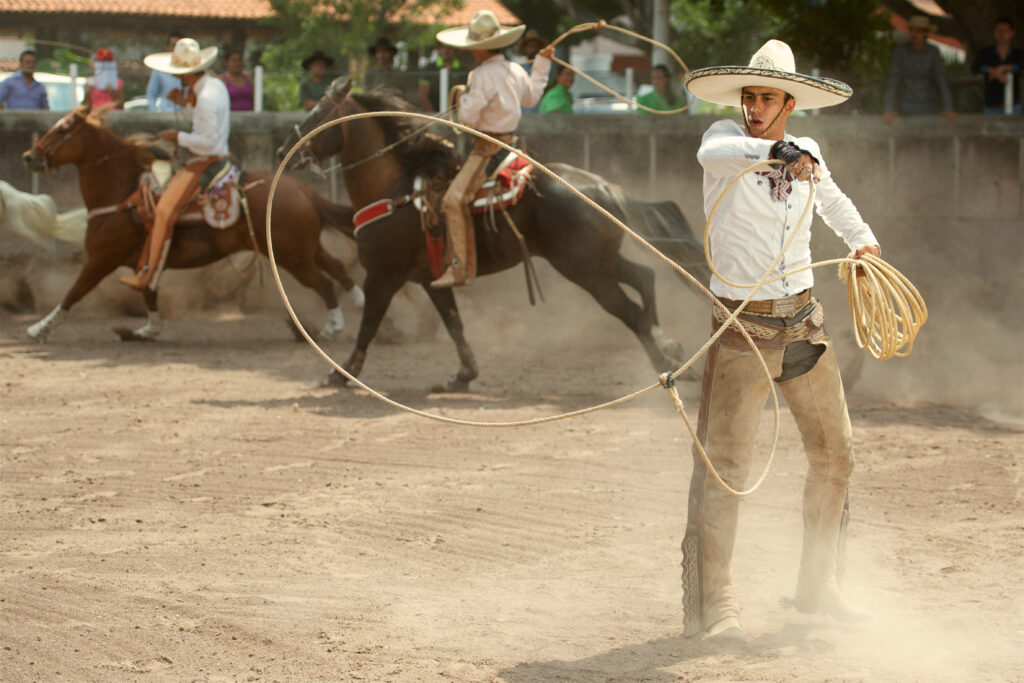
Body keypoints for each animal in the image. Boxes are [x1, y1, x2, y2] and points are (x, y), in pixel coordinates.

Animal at [22, 100, 362, 342]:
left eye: (63, 129)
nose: (28, 157)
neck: (122, 194)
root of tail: (302, 189)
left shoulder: (102, 258)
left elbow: (74, 292)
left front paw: (40, 328)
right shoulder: (144, 261)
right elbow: (148, 292)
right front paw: (147, 330)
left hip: (292, 257)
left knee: (325, 283)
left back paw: (332, 327)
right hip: (303, 249)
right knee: (337, 269)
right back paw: (356, 304)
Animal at [280, 80, 712, 389]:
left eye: (319, 114)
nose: (286, 148)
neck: (395, 190)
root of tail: (604, 187)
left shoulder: (383, 275)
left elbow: (368, 324)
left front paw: (341, 373)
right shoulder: (431, 279)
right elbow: (454, 324)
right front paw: (463, 375)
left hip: (586, 272)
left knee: (633, 313)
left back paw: (664, 363)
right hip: (597, 263)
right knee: (645, 277)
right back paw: (671, 349)